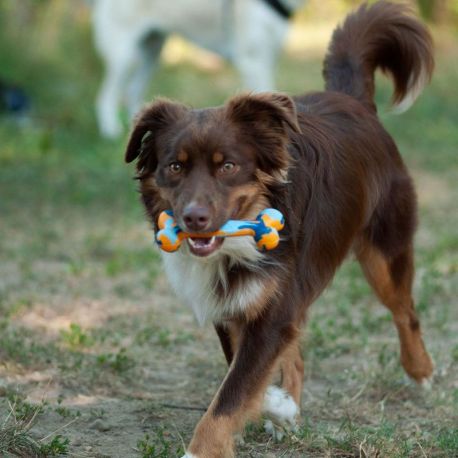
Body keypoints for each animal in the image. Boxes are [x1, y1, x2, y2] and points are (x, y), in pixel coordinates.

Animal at [92, 0, 304, 138]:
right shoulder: (253, 62)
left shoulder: (269, 59)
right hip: (124, 56)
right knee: (106, 96)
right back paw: (110, 130)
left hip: (153, 52)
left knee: (133, 91)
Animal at [124, 1, 432, 456]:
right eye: (174, 167)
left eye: (228, 166)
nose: (194, 219)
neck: (237, 247)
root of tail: (350, 99)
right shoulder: (234, 305)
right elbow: (245, 376)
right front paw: (282, 407)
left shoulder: (272, 306)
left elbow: (231, 394)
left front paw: (200, 449)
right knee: (299, 352)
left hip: (384, 251)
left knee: (405, 311)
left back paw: (420, 370)